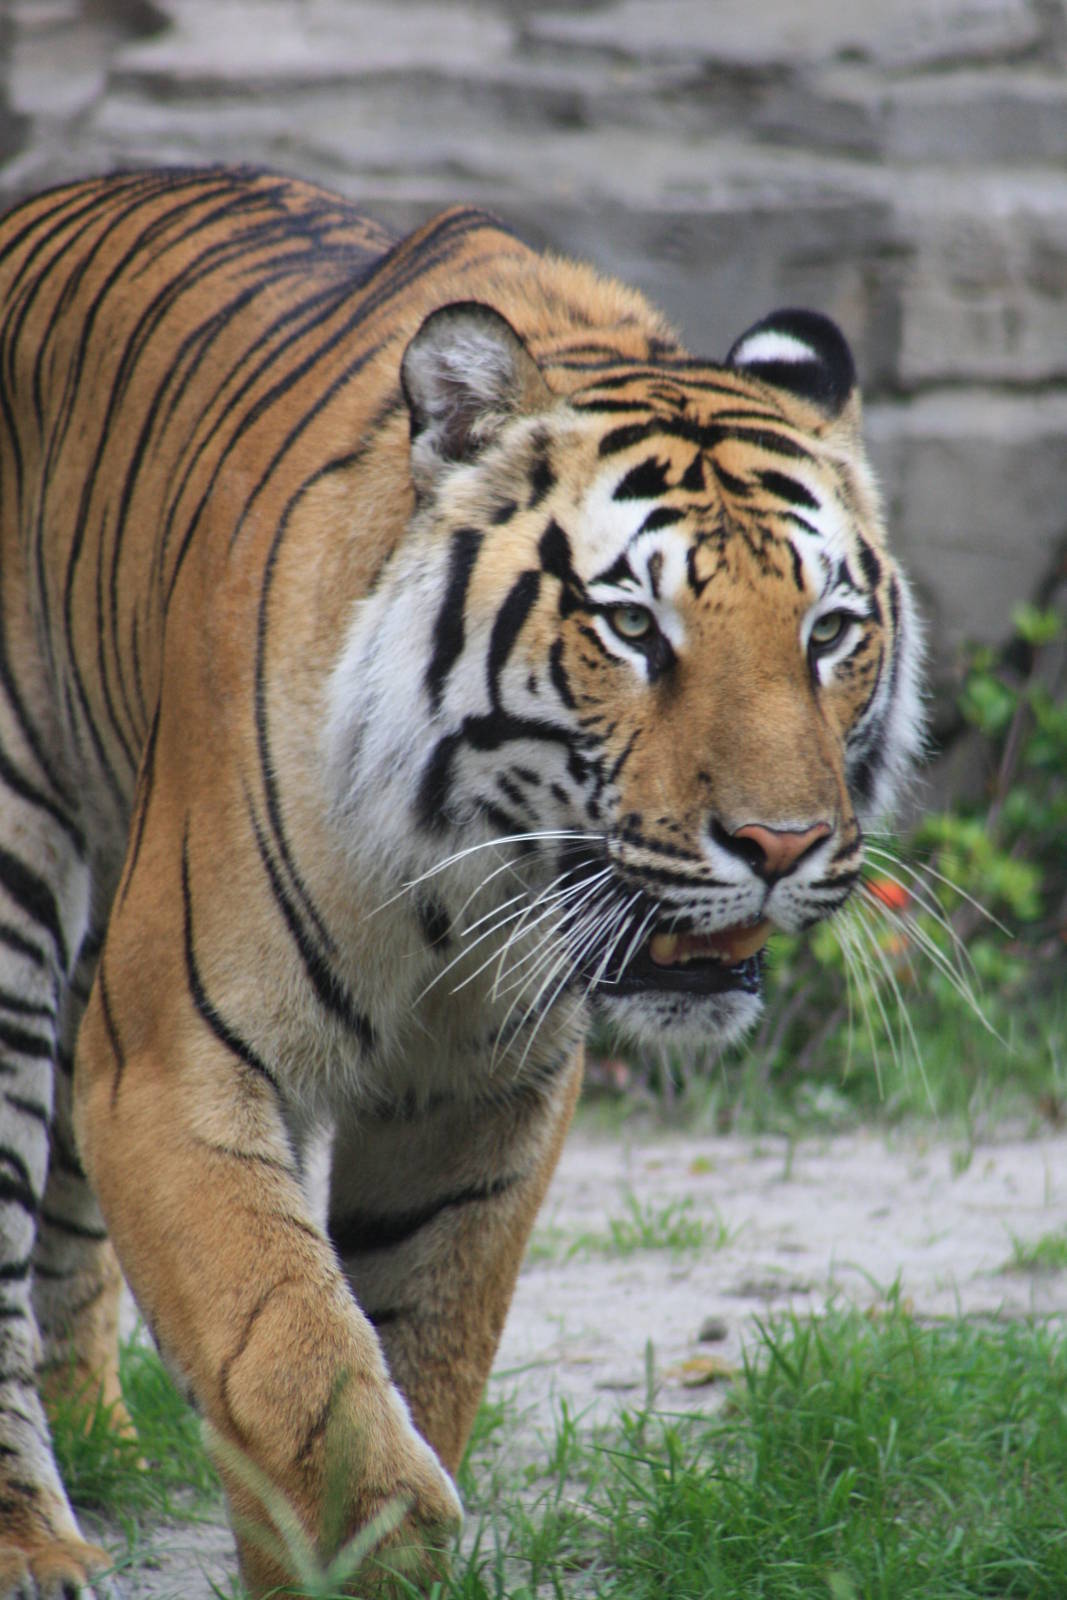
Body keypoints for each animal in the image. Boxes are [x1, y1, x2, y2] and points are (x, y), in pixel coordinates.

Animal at [0, 167, 921, 1596]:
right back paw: (34, 1537)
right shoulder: (172, 1059)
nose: (777, 845)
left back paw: (105, 1444)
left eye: (827, 631)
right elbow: (293, 1359)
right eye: (632, 625)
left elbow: (421, 1344)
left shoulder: (481, 1095)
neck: (466, 876)